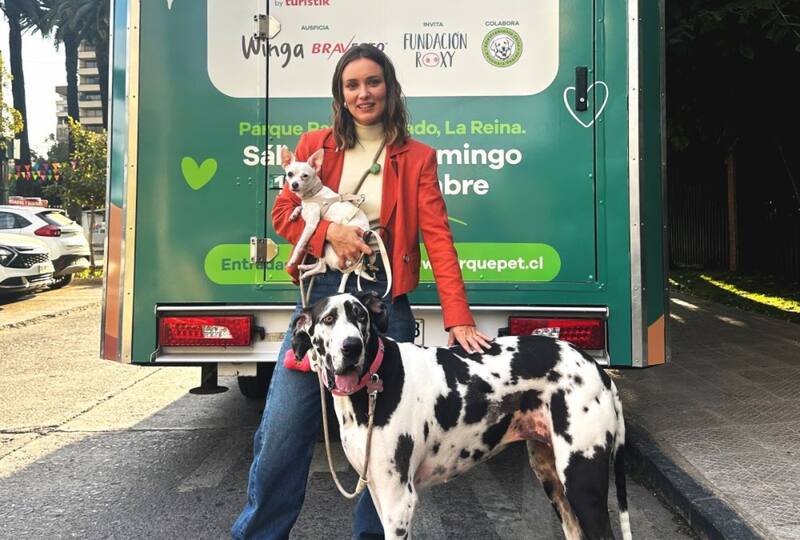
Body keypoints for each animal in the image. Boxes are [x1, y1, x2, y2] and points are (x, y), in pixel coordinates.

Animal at [291, 291, 631, 540]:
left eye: (360, 316)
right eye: (329, 319)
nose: (351, 347)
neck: (375, 381)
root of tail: (598, 369)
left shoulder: (398, 502)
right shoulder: (379, 492)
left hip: (583, 482)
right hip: (552, 477)